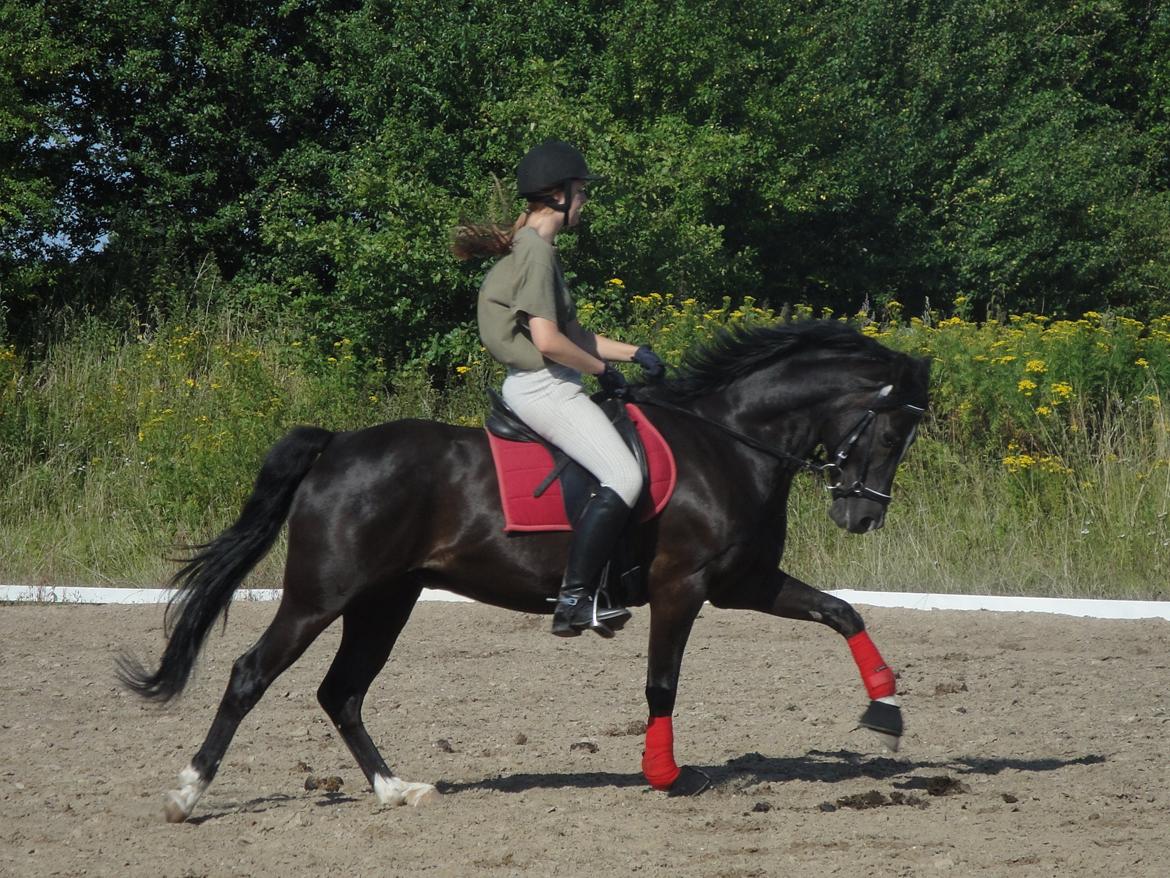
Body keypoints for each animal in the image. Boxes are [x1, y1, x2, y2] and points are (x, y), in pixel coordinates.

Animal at [118, 320, 931, 824]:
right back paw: (187, 795)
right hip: (324, 593)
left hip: (386, 600)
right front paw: (667, 775)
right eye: (895, 429)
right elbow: (662, 682)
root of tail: (339, 444)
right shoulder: (684, 586)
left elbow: (843, 611)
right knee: (252, 674)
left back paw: (396, 790)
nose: (861, 517)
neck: (727, 442)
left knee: (341, 691)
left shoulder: (743, 584)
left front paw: (886, 712)